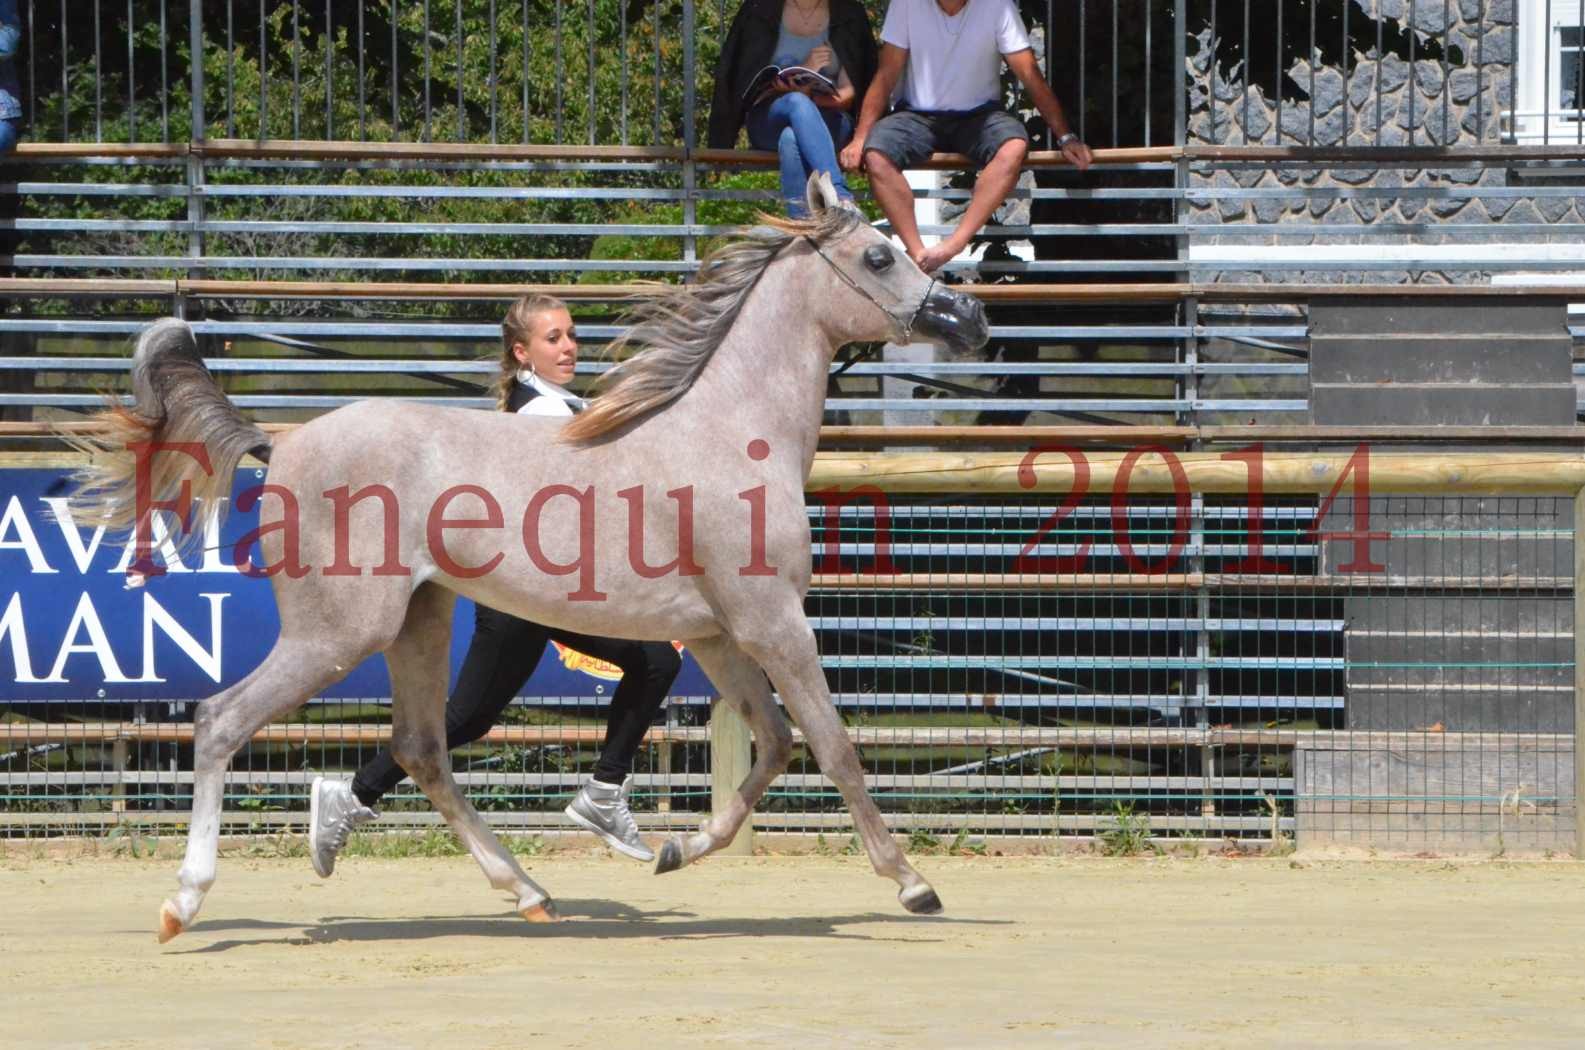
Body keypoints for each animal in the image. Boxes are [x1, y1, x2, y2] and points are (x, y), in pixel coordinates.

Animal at [77, 174, 989, 945]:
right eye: (878, 255)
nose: (967, 321)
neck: (727, 429)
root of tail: (283, 442)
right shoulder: (773, 623)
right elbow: (832, 746)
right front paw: (913, 884)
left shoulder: (722, 635)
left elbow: (770, 745)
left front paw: (674, 852)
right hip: (337, 634)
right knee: (221, 719)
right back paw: (183, 902)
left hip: (418, 622)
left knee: (422, 747)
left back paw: (525, 892)